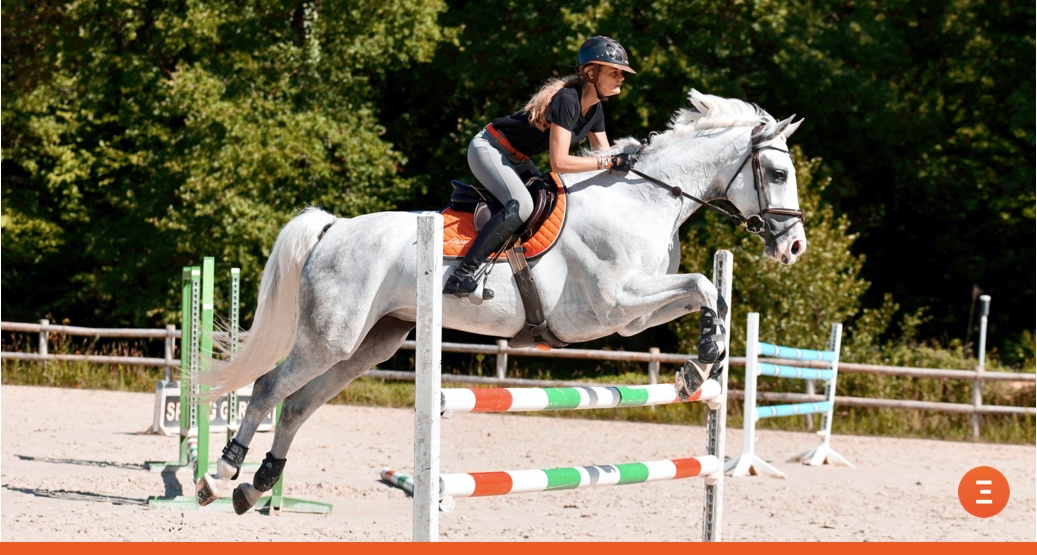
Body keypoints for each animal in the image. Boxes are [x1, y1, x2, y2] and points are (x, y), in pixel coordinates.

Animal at [195, 88, 808, 512]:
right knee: (269, 387)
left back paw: (257, 487)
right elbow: (703, 285)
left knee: (297, 404)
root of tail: (334, 228)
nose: (794, 246)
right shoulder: (613, 303)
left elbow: (708, 296)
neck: (645, 200)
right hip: (331, 337)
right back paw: (219, 476)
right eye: (777, 172)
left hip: (371, 342)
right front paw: (697, 366)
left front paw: (698, 367)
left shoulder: (631, 319)